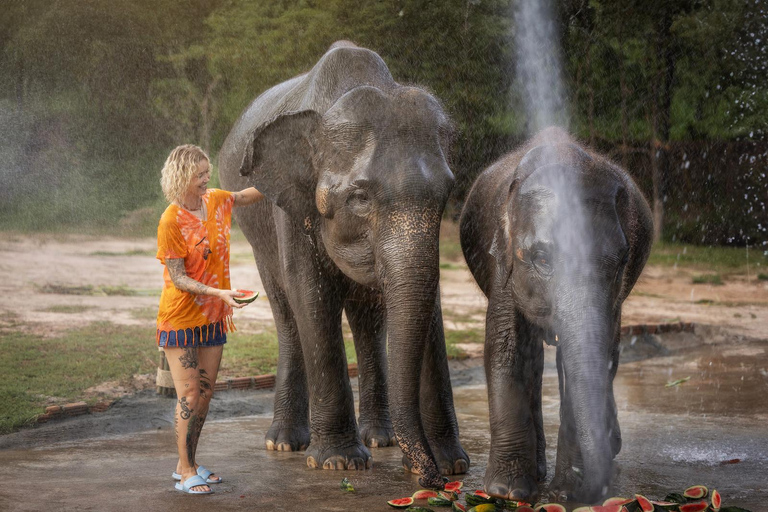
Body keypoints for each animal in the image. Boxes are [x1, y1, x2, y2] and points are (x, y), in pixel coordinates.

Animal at [216, 42, 468, 486]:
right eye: (360, 198)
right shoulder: (292, 204)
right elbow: (310, 295)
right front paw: (339, 462)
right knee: (287, 314)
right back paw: (285, 443)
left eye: (446, 193)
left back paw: (381, 439)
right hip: (258, 238)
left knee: (368, 320)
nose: (431, 482)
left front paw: (451, 463)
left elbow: (428, 305)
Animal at [460, 126, 652, 502]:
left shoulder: (613, 295)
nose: (595, 490)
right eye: (542, 259)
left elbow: (599, 354)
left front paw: (566, 493)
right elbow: (506, 347)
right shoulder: (502, 259)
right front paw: (507, 491)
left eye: (620, 262)